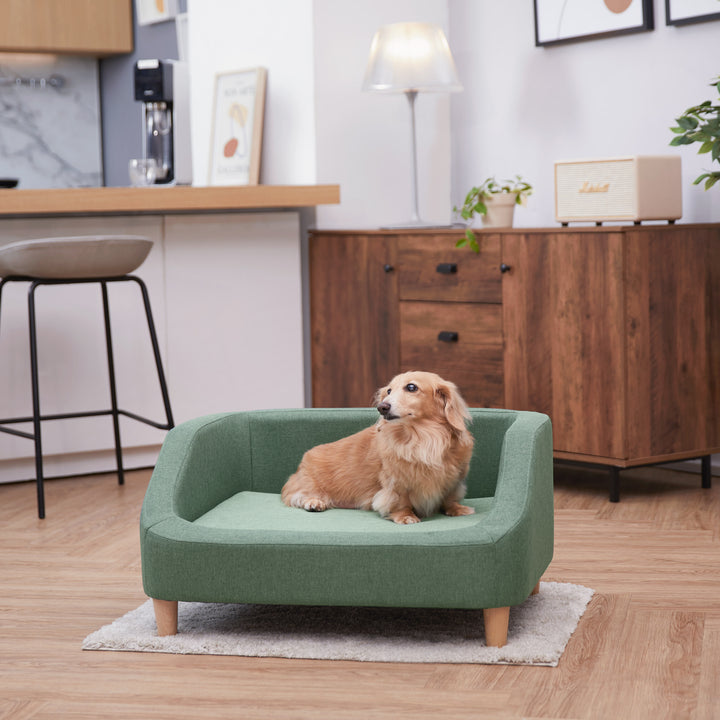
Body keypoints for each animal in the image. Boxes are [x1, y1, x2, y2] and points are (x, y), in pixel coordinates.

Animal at [282, 372, 478, 524]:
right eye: (389, 391)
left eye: (411, 387)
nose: (382, 407)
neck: (423, 438)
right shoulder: (395, 483)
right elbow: (400, 501)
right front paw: (405, 516)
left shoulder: (454, 480)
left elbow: (449, 498)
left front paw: (457, 509)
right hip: (307, 484)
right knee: (295, 495)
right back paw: (313, 502)